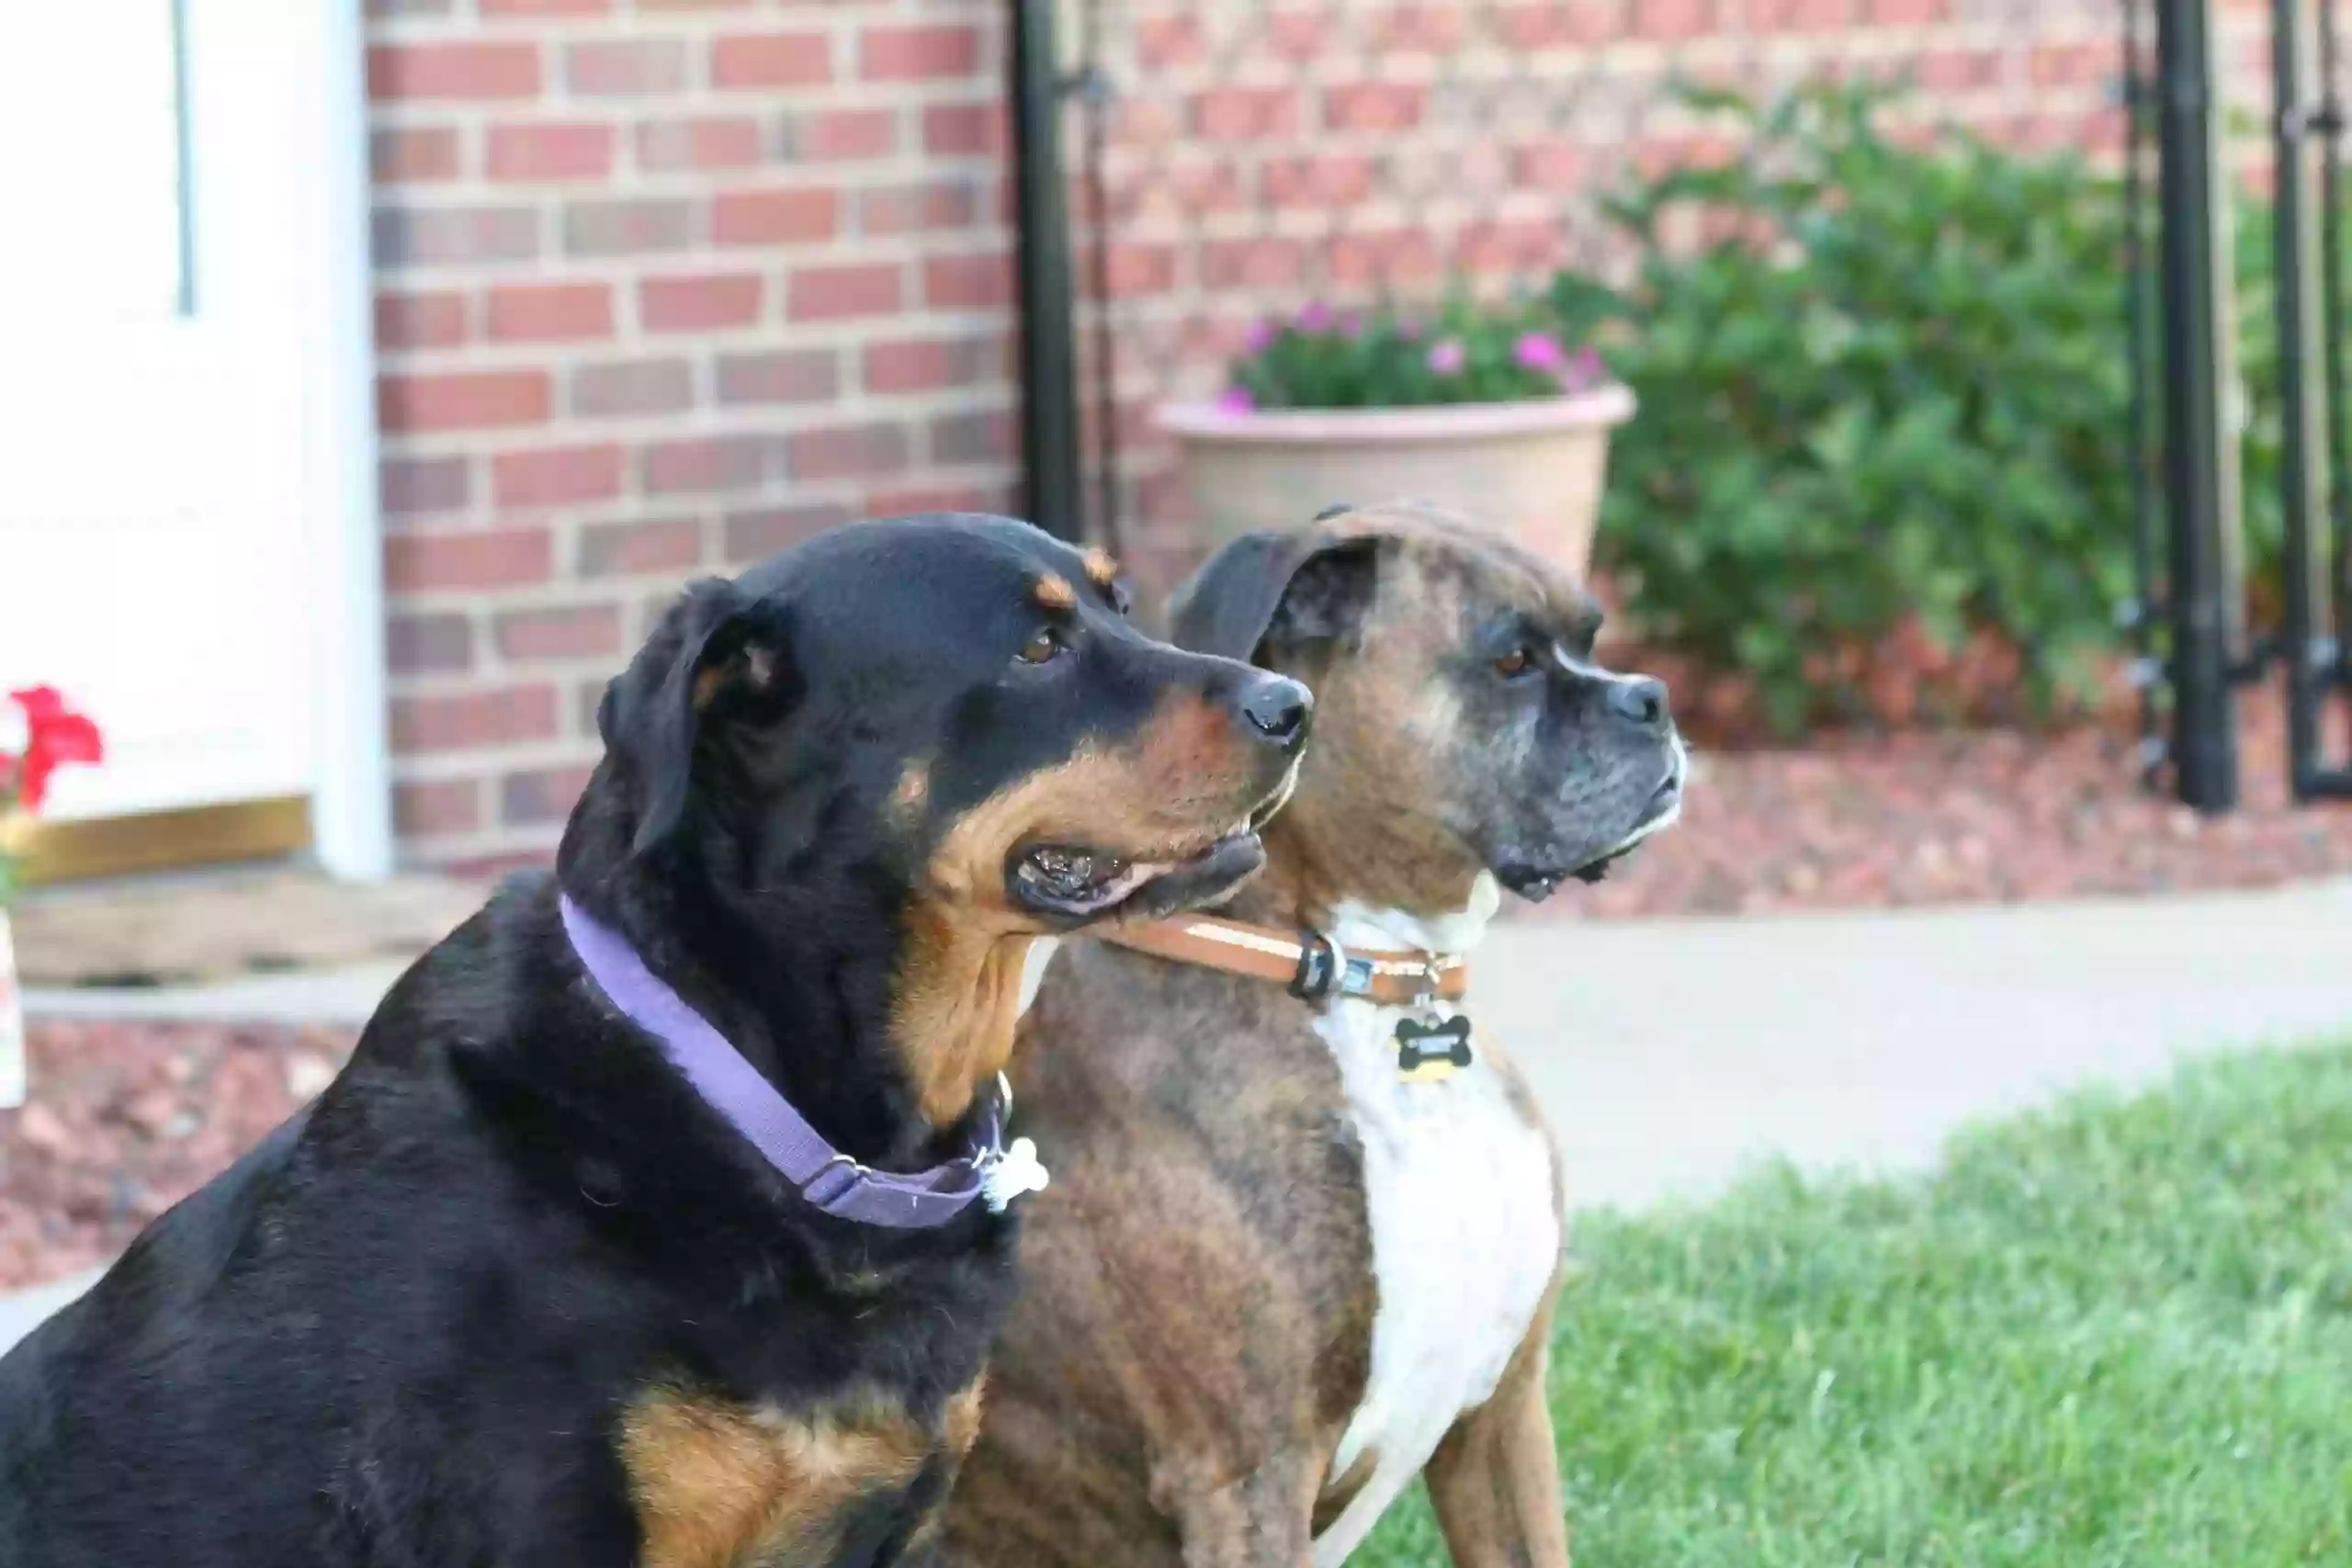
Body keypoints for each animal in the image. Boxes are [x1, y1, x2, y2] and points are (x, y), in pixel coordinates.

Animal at [926, 501, 1683, 1568]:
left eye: (1592, 636)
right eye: (1511, 661)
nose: (1651, 700)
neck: (1367, 981)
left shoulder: (1502, 1419)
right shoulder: (1248, 1476)